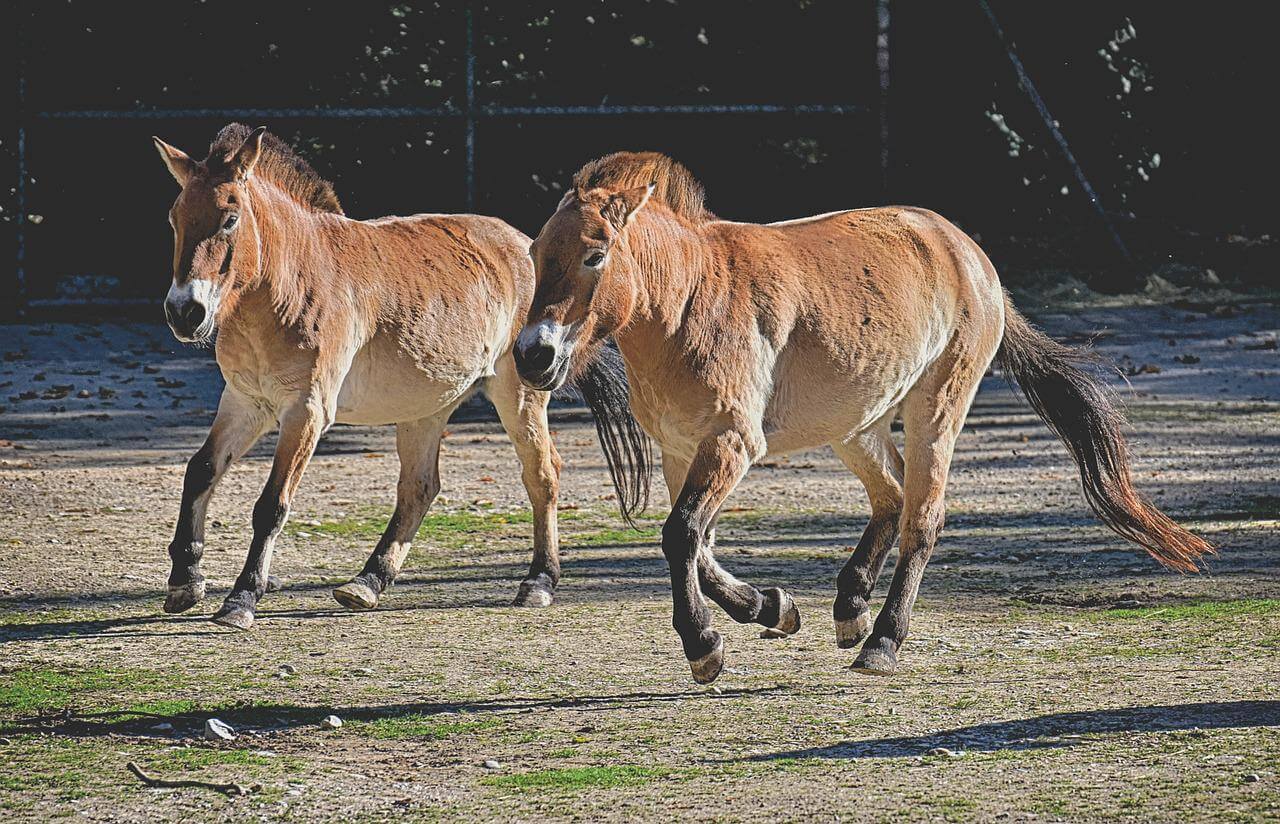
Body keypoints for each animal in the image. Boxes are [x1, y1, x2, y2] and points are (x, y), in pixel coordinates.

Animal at [149, 120, 624, 624]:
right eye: (175, 219)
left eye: (230, 219)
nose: (185, 312)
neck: (288, 284)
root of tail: (526, 247)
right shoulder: (245, 401)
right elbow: (201, 470)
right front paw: (185, 581)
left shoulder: (306, 411)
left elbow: (272, 505)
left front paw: (241, 598)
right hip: (426, 408)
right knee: (420, 487)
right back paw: (367, 582)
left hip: (519, 394)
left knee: (542, 473)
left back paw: (539, 581)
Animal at [514, 150, 1213, 680]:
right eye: (536, 255)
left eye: (596, 254)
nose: (532, 354)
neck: (689, 300)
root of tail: (970, 257)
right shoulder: (683, 449)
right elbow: (696, 545)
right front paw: (772, 608)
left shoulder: (732, 444)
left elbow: (681, 536)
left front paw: (705, 646)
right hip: (856, 423)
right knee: (892, 496)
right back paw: (850, 607)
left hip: (935, 408)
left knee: (922, 517)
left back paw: (882, 641)